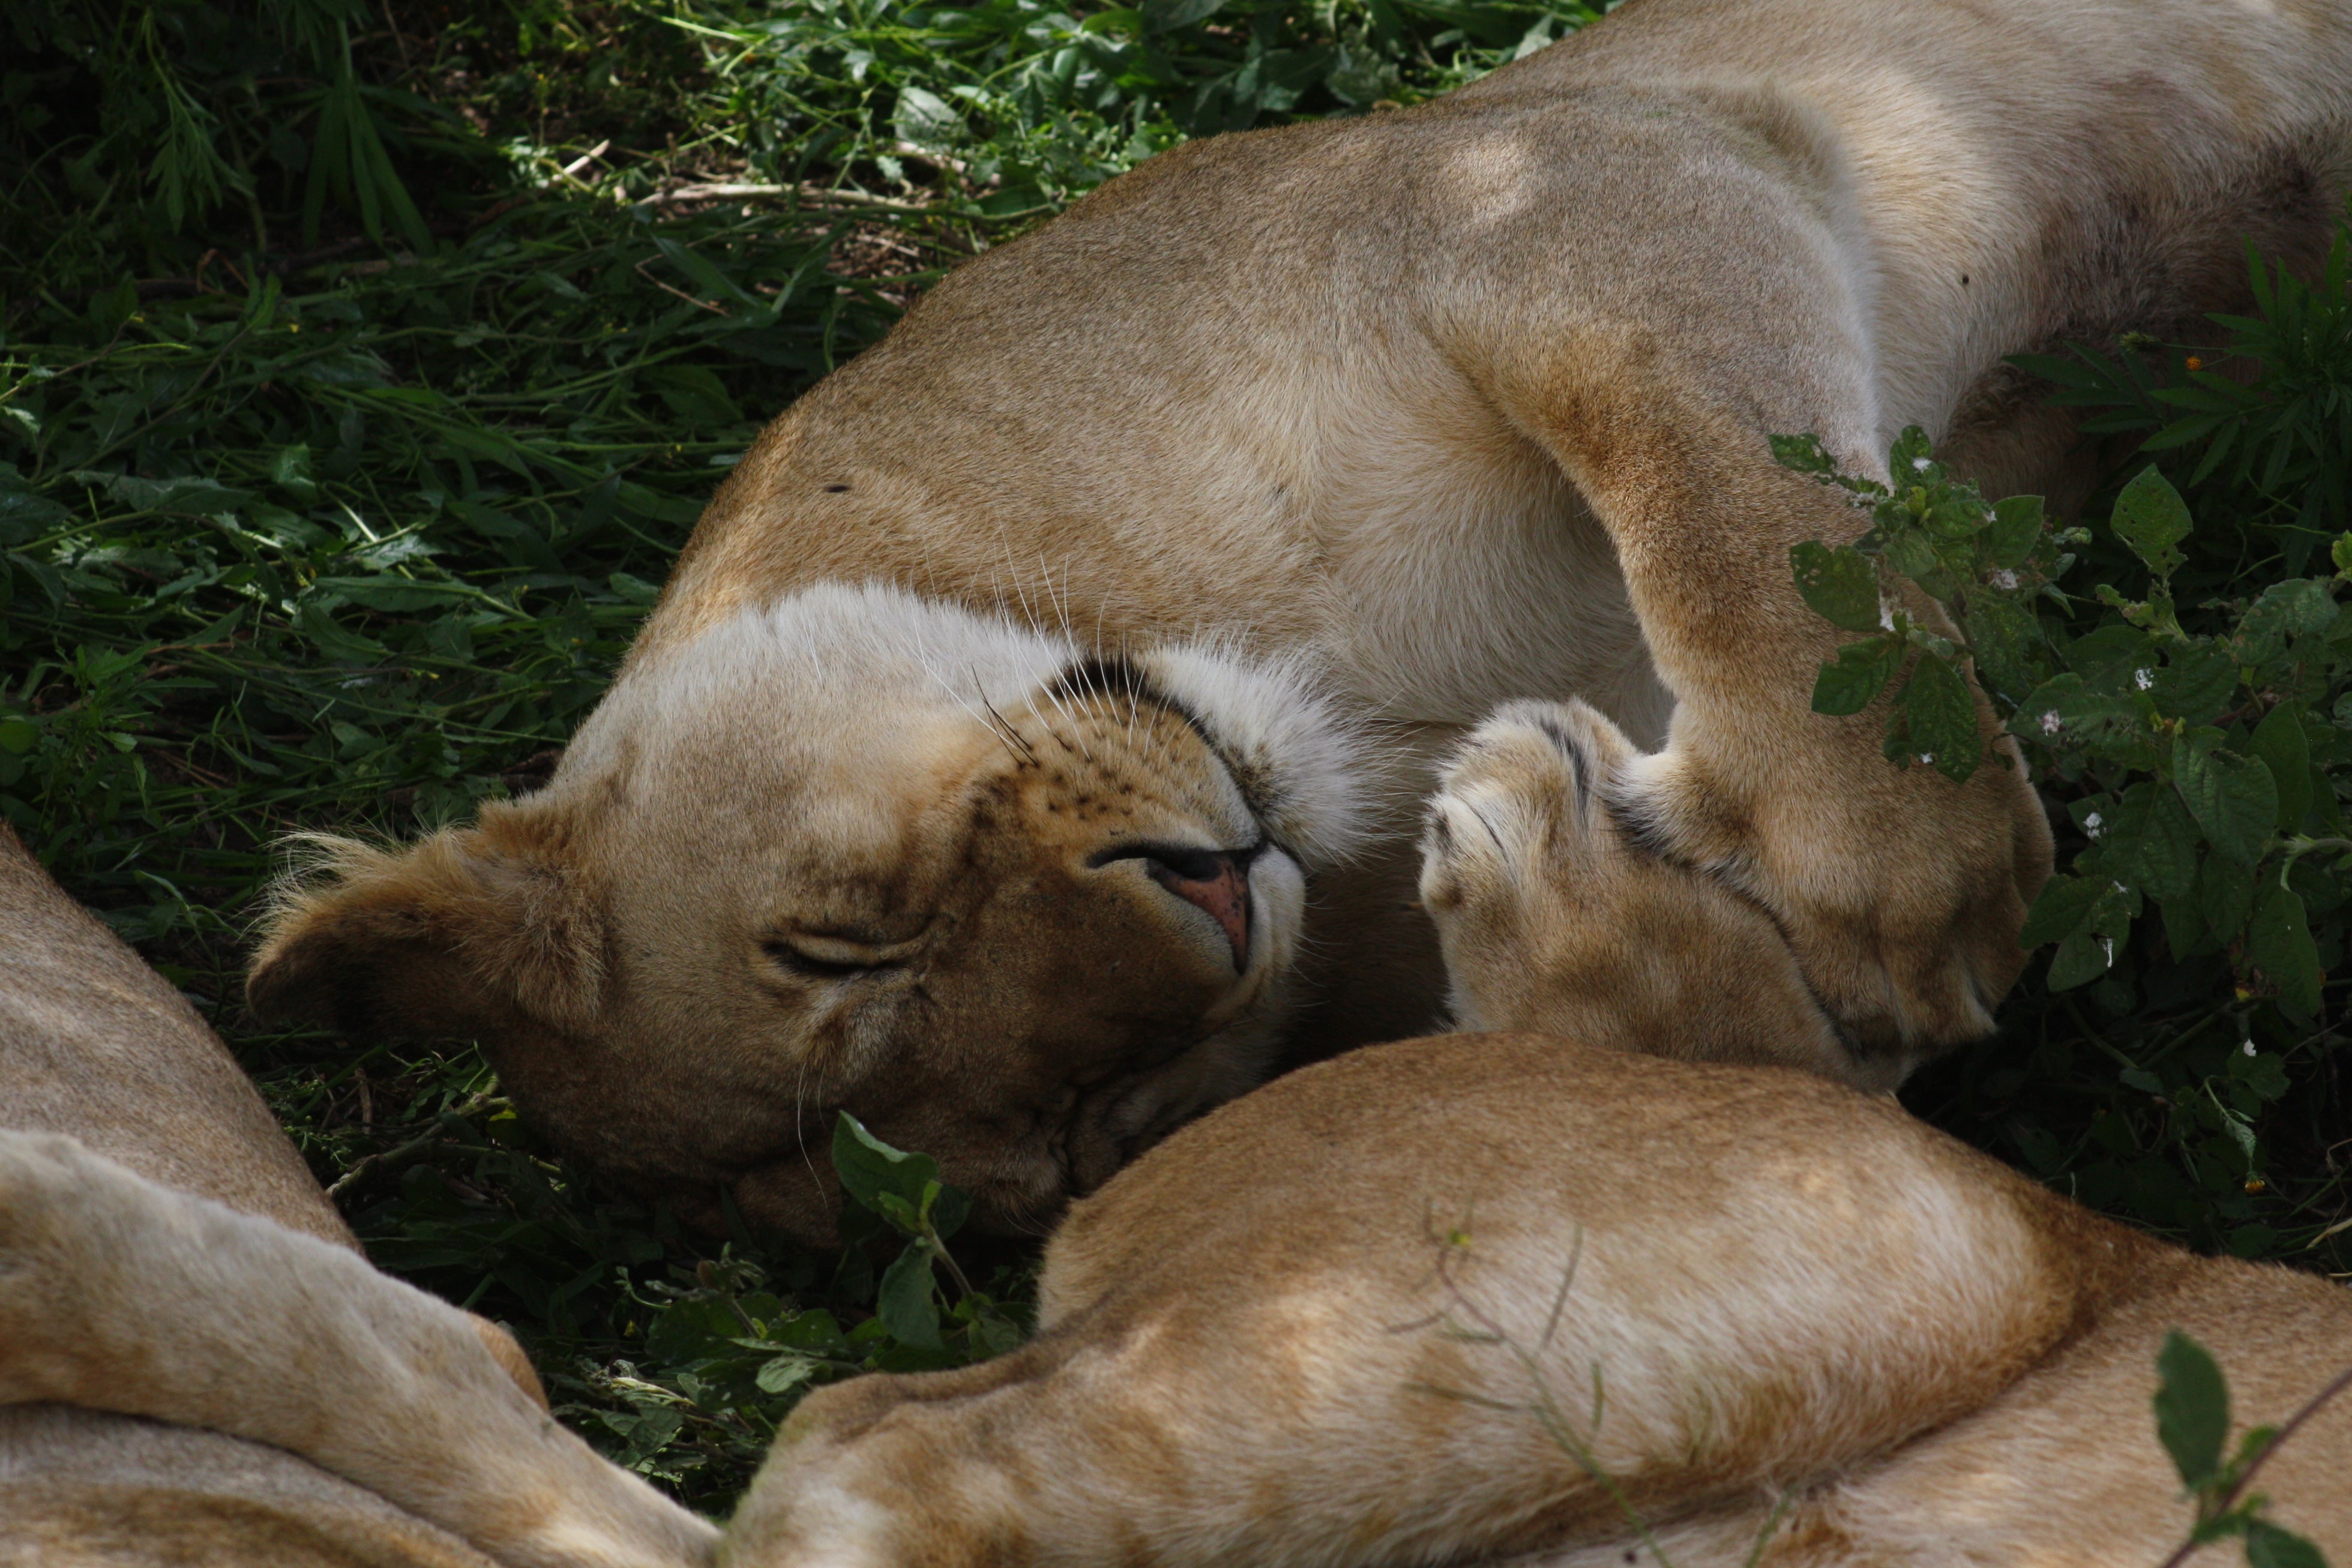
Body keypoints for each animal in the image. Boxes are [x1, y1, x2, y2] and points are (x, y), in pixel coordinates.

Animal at [247, 0, 2352, 1239]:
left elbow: (1756, 517)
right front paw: (1554, 885)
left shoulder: (1565, 179)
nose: (1213, 889)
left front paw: (1910, 862)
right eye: (1073, 1127)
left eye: (840, 938)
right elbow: (1747, 1077)